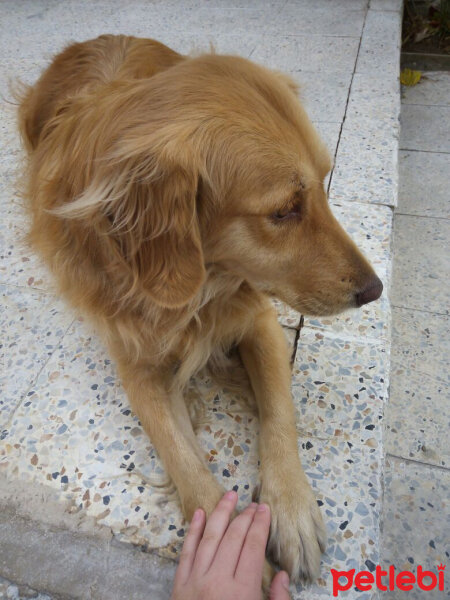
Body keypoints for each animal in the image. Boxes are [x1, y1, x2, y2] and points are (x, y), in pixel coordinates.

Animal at [18, 35, 384, 588]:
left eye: (325, 183)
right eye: (283, 211)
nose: (375, 289)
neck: (204, 288)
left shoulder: (258, 318)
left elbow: (280, 408)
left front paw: (292, 509)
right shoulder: (137, 360)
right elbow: (182, 459)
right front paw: (235, 561)